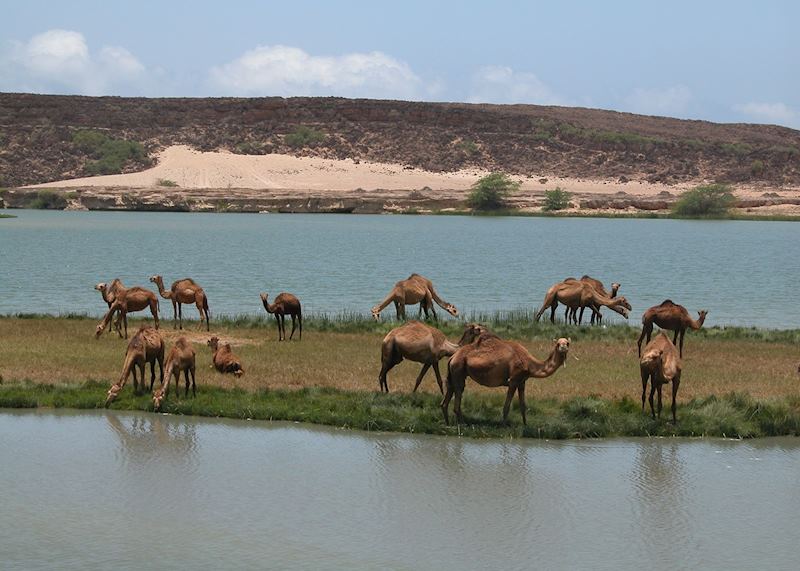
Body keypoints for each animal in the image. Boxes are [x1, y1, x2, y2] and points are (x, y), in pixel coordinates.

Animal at [442, 334, 570, 425]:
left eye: (568, 343)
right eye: (558, 343)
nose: (563, 347)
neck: (529, 363)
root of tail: (452, 357)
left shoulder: (522, 381)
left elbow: (523, 406)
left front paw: (525, 425)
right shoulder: (513, 380)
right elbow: (506, 406)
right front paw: (504, 426)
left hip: (454, 373)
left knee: (447, 396)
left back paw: (448, 423)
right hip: (458, 368)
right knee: (458, 393)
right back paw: (463, 424)